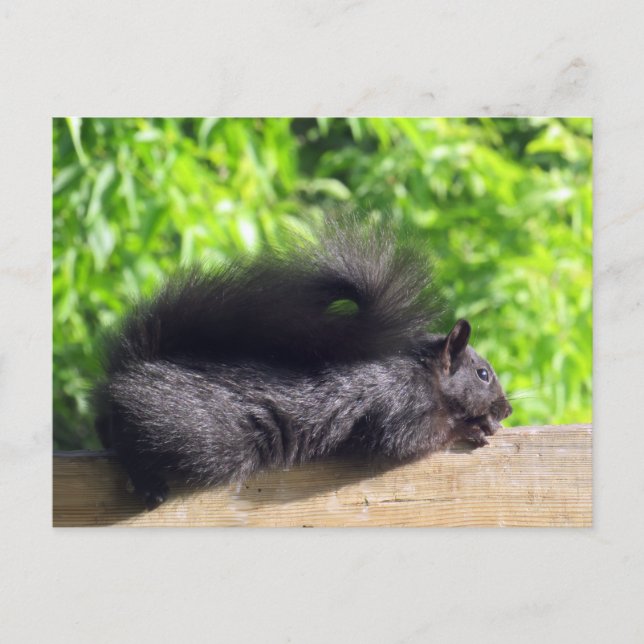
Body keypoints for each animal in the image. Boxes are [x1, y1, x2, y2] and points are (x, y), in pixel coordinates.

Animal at [94, 217, 512, 509]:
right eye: (483, 374)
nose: (506, 410)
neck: (424, 375)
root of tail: (134, 368)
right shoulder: (399, 407)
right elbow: (407, 440)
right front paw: (471, 427)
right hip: (202, 437)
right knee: (131, 439)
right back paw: (148, 484)